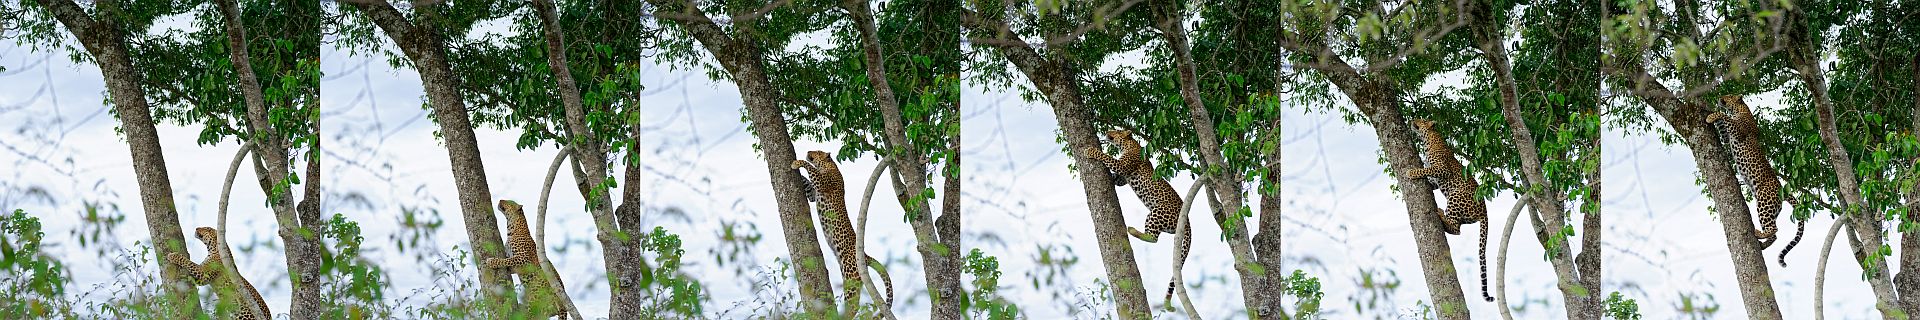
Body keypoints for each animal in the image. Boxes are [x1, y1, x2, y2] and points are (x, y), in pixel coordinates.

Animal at [787, 151, 890, 306]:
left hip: (851, 276)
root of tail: (865, 255)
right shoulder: (813, 194)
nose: (808, 152)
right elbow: (808, 183)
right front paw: (799, 172)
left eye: (817, 151)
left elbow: (810, 168)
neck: (829, 165)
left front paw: (796, 163)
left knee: (852, 305)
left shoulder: (823, 182)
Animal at [1082, 129, 1182, 302]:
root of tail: (1187, 219)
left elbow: (1107, 157)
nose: (1107, 132)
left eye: (1116, 130)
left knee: (1153, 238)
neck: (1128, 144)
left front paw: (1091, 151)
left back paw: (1133, 231)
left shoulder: (1122, 165)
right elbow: (1117, 179)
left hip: (1157, 212)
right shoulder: (1122, 177)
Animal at [1397, 118, 1497, 300]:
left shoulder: (1441, 169)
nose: (1413, 119)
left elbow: (1425, 169)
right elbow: (1430, 181)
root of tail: (1485, 211)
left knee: (1457, 229)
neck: (1430, 140)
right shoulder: (1436, 180)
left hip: (1455, 195)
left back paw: (1440, 213)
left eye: (1422, 119)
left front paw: (1411, 172)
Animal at [1712, 94, 1797, 260]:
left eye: (1729, 95)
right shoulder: (1727, 137)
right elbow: (1723, 128)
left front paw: (1711, 116)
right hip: (1772, 209)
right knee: (1774, 234)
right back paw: (1763, 244)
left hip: (1764, 202)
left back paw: (1758, 233)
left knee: (1775, 229)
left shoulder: (1738, 131)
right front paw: (1711, 115)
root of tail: (1781, 188)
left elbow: (1725, 117)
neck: (1740, 110)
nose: (1719, 97)